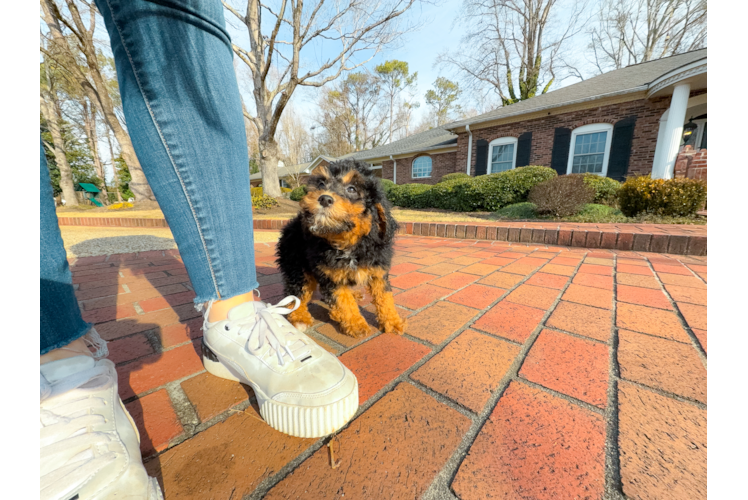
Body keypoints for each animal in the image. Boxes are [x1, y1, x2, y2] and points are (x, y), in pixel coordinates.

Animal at [274, 159, 406, 340]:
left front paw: (392, 322)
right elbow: (344, 302)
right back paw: (300, 317)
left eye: (351, 189)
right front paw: (357, 325)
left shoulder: (378, 271)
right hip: (297, 267)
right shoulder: (331, 276)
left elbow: (385, 297)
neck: (347, 243)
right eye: (321, 184)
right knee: (296, 294)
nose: (324, 198)